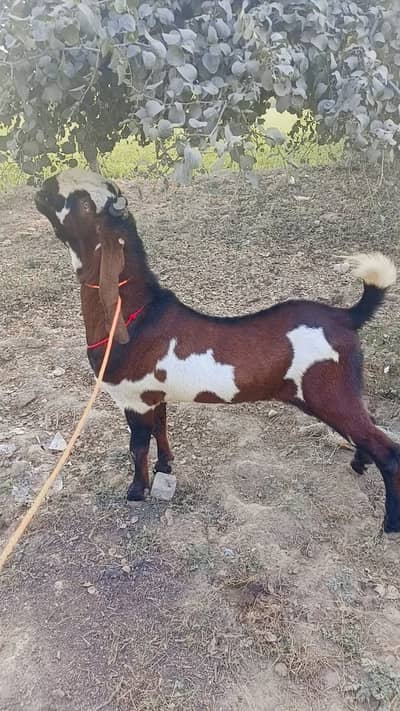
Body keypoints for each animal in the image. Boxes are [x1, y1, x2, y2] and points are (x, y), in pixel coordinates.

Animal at [35, 168, 400, 532]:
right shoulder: (155, 396)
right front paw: (165, 467)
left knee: (387, 449)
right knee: (369, 425)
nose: (45, 185)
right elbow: (161, 430)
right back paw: (359, 463)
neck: (137, 315)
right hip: (339, 392)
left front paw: (136, 492)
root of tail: (346, 316)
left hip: (329, 393)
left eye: (84, 204)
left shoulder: (133, 398)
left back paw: (390, 522)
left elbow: (137, 446)